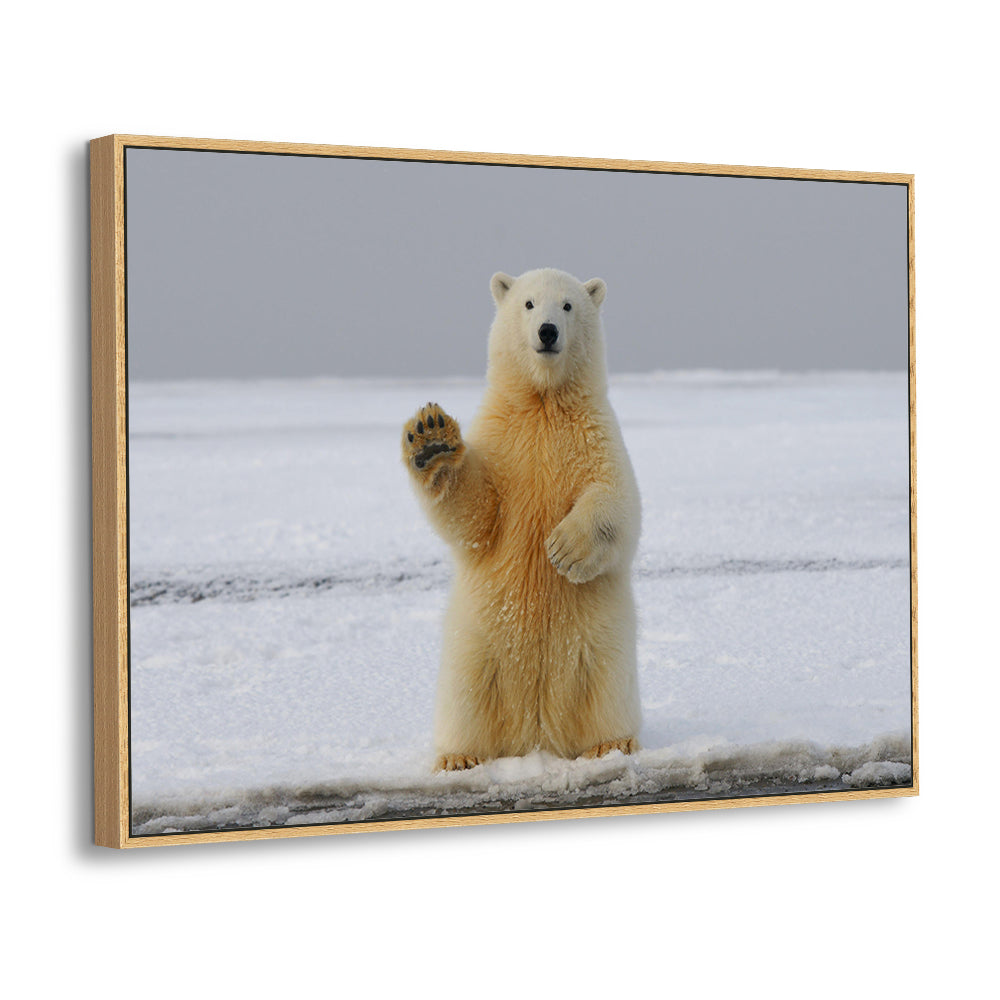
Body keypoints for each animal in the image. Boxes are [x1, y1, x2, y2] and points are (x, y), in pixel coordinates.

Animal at [402, 268, 642, 771]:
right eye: (529, 304)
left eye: (567, 305)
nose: (547, 332)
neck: (543, 402)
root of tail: (537, 734)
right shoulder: (503, 440)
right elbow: (477, 515)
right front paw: (431, 439)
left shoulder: (596, 436)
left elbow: (618, 501)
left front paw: (564, 550)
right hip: (476, 644)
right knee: (466, 696)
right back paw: (458, 757)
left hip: (602, 645)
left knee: (606, 689)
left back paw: (610, 745)